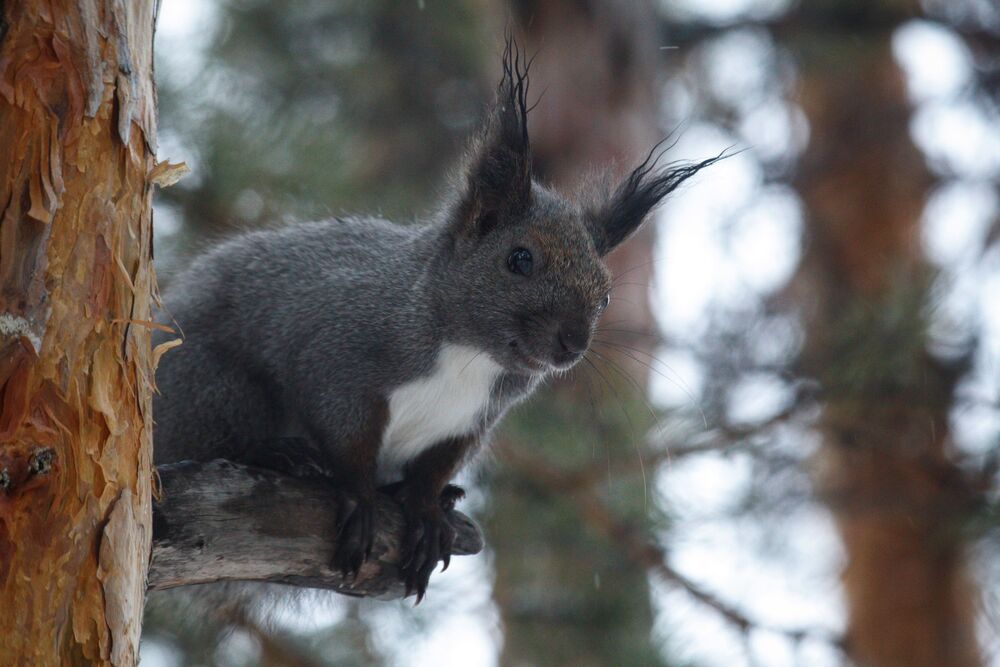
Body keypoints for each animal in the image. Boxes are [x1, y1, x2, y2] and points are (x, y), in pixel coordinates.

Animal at [152, 36, 722, 601]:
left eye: (605, 297)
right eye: (520, 259)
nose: (573, 344)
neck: (468, 354)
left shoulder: (470, 421)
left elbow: (435, 468)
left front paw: (427, 509)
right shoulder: (340, 360)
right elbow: (347, 442)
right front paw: (361, 498)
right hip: (217, 386)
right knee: (208, 440)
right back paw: (278, 452)